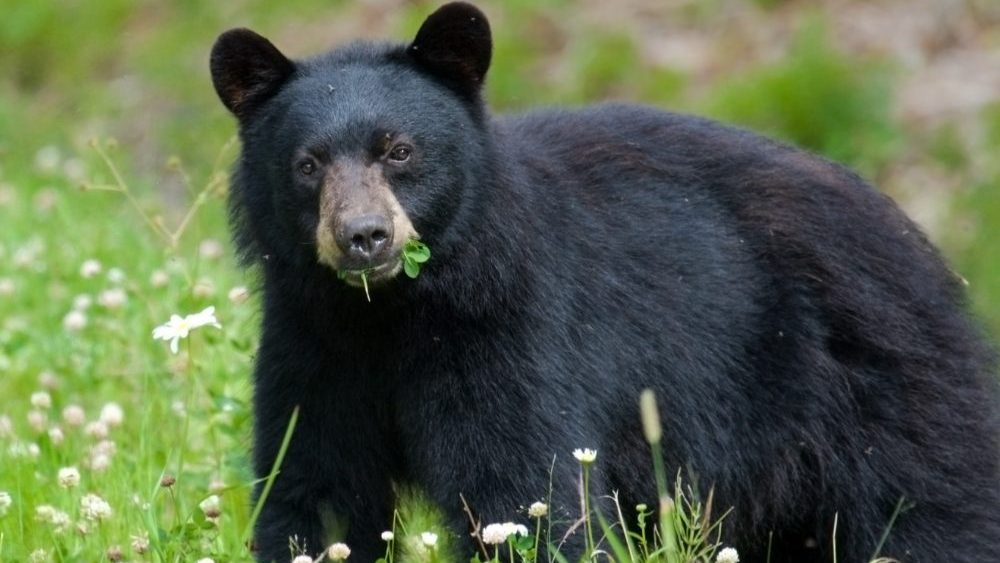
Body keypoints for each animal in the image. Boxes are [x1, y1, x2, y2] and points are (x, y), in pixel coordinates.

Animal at [207, 4, 996, 563]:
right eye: (308, 164)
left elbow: (525, 490)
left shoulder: (513, 330)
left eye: (398, 151)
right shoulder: (313, 342)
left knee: (934, 511)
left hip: (880, 391)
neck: (393, 313)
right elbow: (314, 488)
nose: (364, 236)